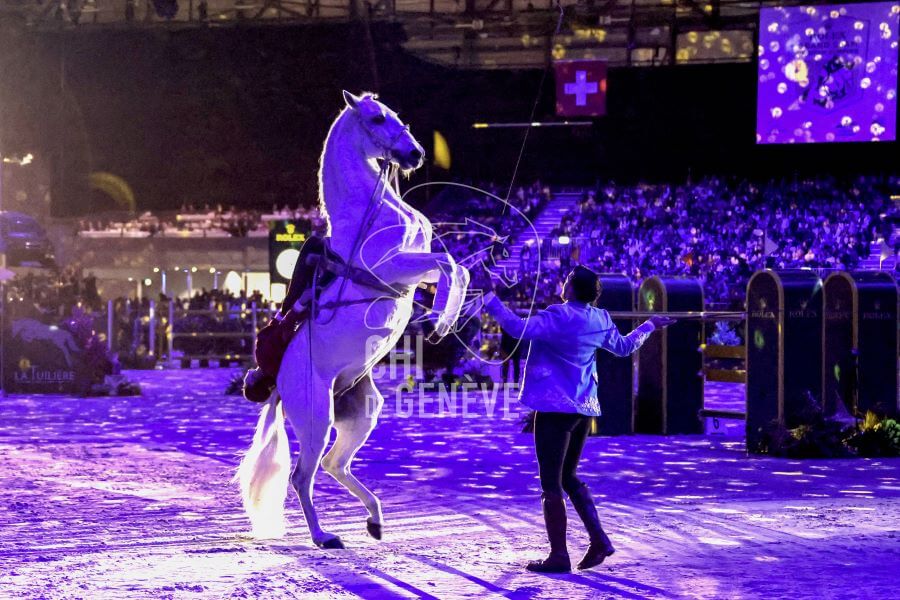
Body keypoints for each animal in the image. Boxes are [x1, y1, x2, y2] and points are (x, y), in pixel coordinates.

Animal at [236, 90, 468, 548]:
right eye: (377, 119)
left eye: (397, 115)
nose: (415, 154)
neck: (370, 211)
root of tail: (278, 386)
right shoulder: (395, 267)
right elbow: (449, 263)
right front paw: (437, 321)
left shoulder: (413, 269)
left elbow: (455, 268)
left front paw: (443, 318)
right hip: (317, 417)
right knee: (302, 475)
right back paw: (323, 536)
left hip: (362, 414)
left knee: (334, 465)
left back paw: (375, 520)